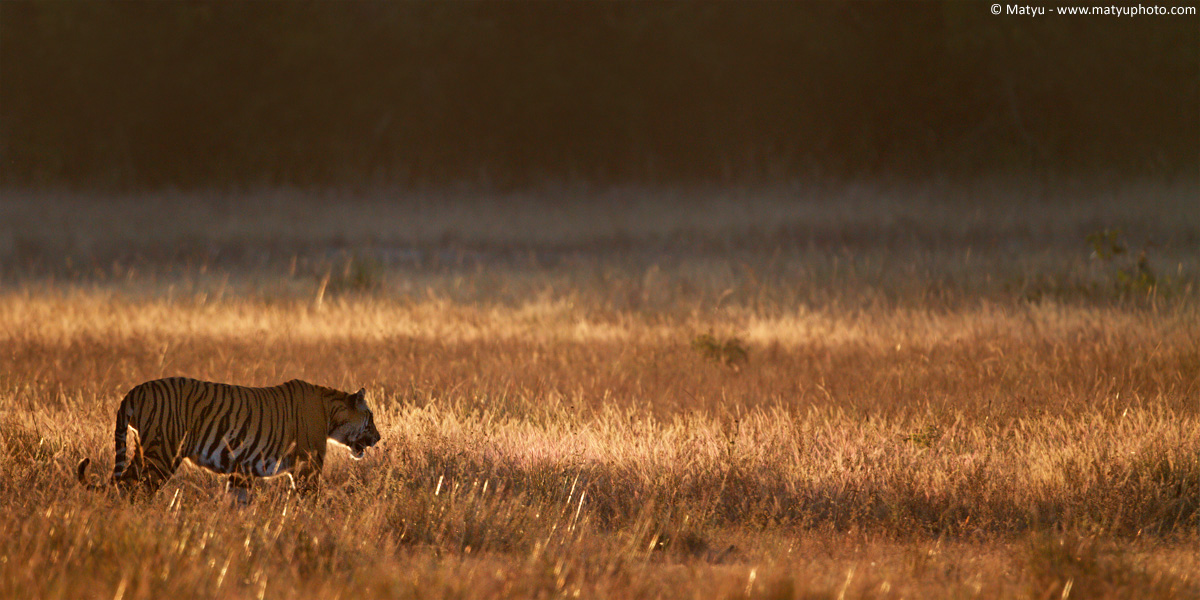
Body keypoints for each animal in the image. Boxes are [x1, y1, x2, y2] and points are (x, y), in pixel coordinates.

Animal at [77, 377, 381, 502]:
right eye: (371, 417)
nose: (378, 438)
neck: (330, 412)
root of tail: (134, 391)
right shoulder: (308, 468)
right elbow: (310, 501)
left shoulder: (241, 471)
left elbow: (238, 502)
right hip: (162, 454)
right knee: (134, 489)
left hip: (145, 451)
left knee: (124, 485)